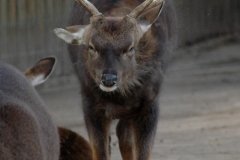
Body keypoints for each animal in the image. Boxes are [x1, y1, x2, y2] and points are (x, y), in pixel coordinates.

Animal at [53, 0, 176, 159]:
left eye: (131, 48)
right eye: (91, 47)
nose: (108, 79)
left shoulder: (150, 102)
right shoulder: (90, 103)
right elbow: (100, 152)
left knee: (124, 135)